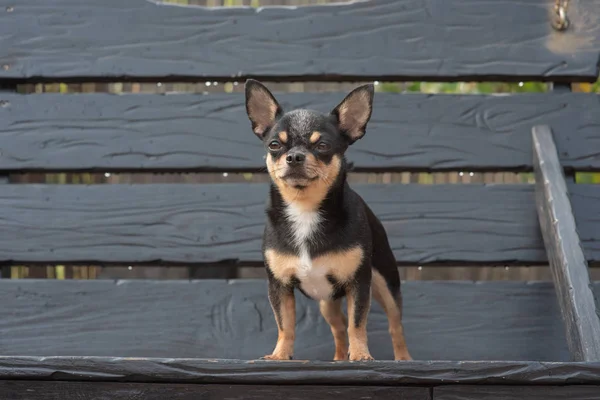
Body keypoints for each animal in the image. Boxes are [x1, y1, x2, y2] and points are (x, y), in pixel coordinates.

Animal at [245, 79, 412, 362]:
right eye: (274, 146)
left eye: (322, 146)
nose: (295, 156)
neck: (305, 209)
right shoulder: (279, 287)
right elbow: (285, 324)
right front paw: (280, 355)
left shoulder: (359, 284)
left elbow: (358, 322)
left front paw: (361, 355)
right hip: (327, 301)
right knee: (338, 326)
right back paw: (339, 357)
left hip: (384, 283)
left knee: (395, 324)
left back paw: (403, 359)